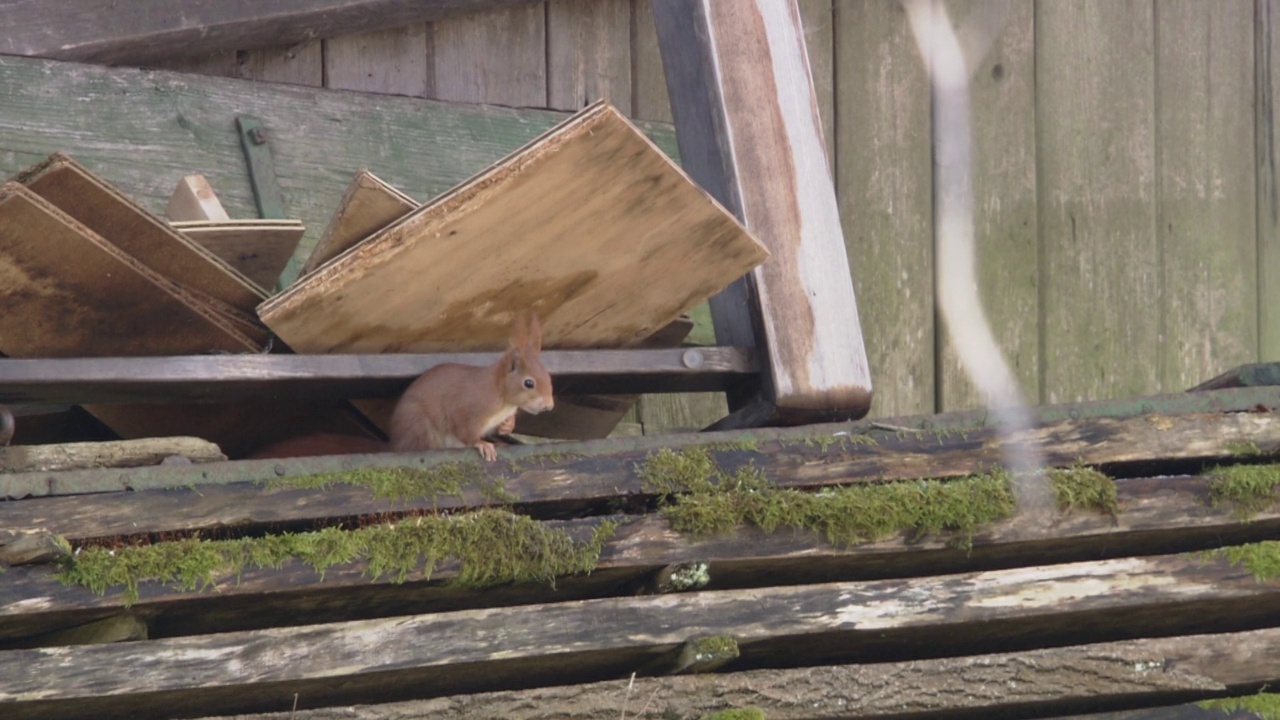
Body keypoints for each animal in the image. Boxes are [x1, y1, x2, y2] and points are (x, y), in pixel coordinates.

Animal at [248, 313, 550, 458]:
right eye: (529, 383)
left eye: (549, 378)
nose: (548, 406)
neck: (499, 396)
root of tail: (396, 446)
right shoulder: (470, 406)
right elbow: (465, 430)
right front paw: (482, 444)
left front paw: (508, 426)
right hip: (423, 430)